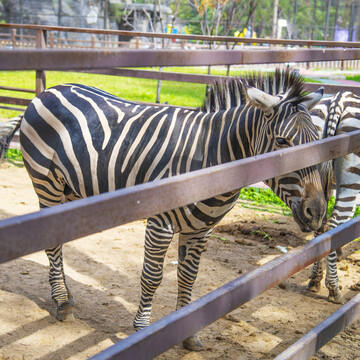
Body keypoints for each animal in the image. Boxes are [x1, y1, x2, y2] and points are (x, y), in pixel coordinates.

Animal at [0, 69, 326, 350]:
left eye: (318, 141)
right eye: (282, 141)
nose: (318, 212)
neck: (213, 159)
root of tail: (47, 91)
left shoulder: (201, 228)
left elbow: (188, 276)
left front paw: (187, 332)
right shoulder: (160, 223)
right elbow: (153, 276)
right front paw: (143, 332)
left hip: (70, 190)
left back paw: (66, 294)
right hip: (47, 183)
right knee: (52, 244)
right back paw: (62, 302)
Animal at [202, 75, 360, 304]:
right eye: (281, 140)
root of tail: (339, 99)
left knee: (322, 226)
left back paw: (316, 280)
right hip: (352, 177)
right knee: (332, 226)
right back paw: (334, 288)